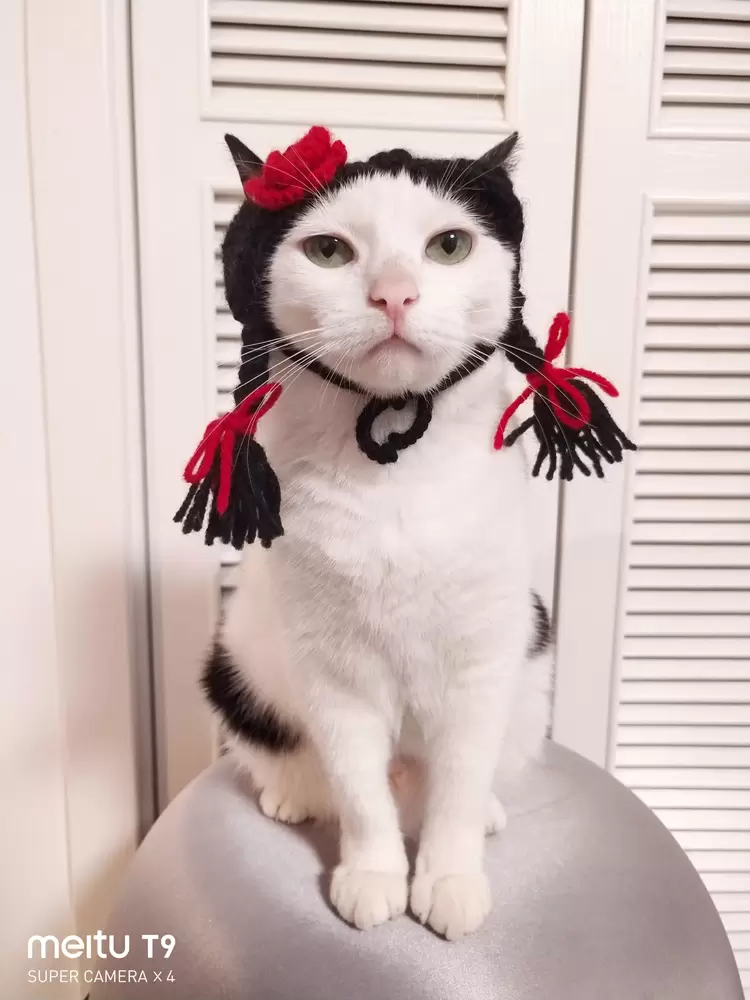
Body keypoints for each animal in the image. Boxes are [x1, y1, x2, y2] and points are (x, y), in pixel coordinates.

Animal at [203, 134, 553, 940]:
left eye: (449, 245)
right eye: (329, 250)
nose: (394, 294)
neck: (395, 472)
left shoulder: (482, 665)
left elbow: (458, 787)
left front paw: (449, 878)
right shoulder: (331, 673)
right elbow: (360, 793)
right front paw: (373, 876)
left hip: (531, 672)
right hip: (237, 663)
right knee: (297, 760)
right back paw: (293, 795)